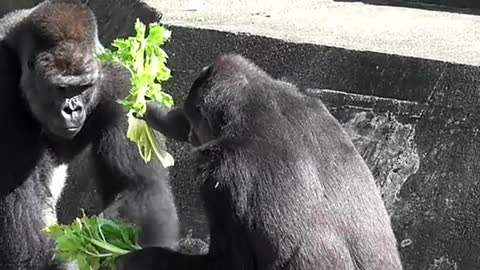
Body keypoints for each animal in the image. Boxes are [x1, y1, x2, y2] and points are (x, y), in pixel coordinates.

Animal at [116, 53, 404, 268]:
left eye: (198, 129)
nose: (192, 136)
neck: (254, 103)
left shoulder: (220, 177)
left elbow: (228, 263)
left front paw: (137, 258)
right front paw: (142, 102)